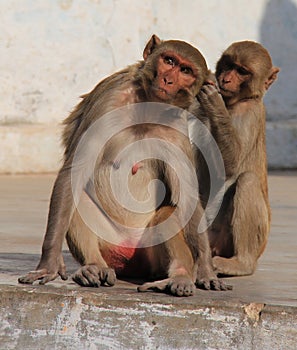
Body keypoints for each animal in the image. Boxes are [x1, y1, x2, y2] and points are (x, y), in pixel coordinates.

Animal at [19, 34, 227, 296]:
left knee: (168, 212)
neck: (147, 104)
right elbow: (74, 172)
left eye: (186, 71)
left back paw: (178, 277)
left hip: (149, 253)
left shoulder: (177, 126)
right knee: (76, 200)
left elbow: (187, 198)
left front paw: (207, 269)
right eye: (169, 60)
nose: (168, 79)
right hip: (110, 245)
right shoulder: (109, 101)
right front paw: (49, 263)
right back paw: (93, 268)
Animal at [195, 41, 278, 276]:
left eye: (242, 71)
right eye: (229, 65)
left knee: (247, 181)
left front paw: (214, 102)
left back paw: (241, 263)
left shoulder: (247, 114)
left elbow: (229, 167)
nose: (225, 79)